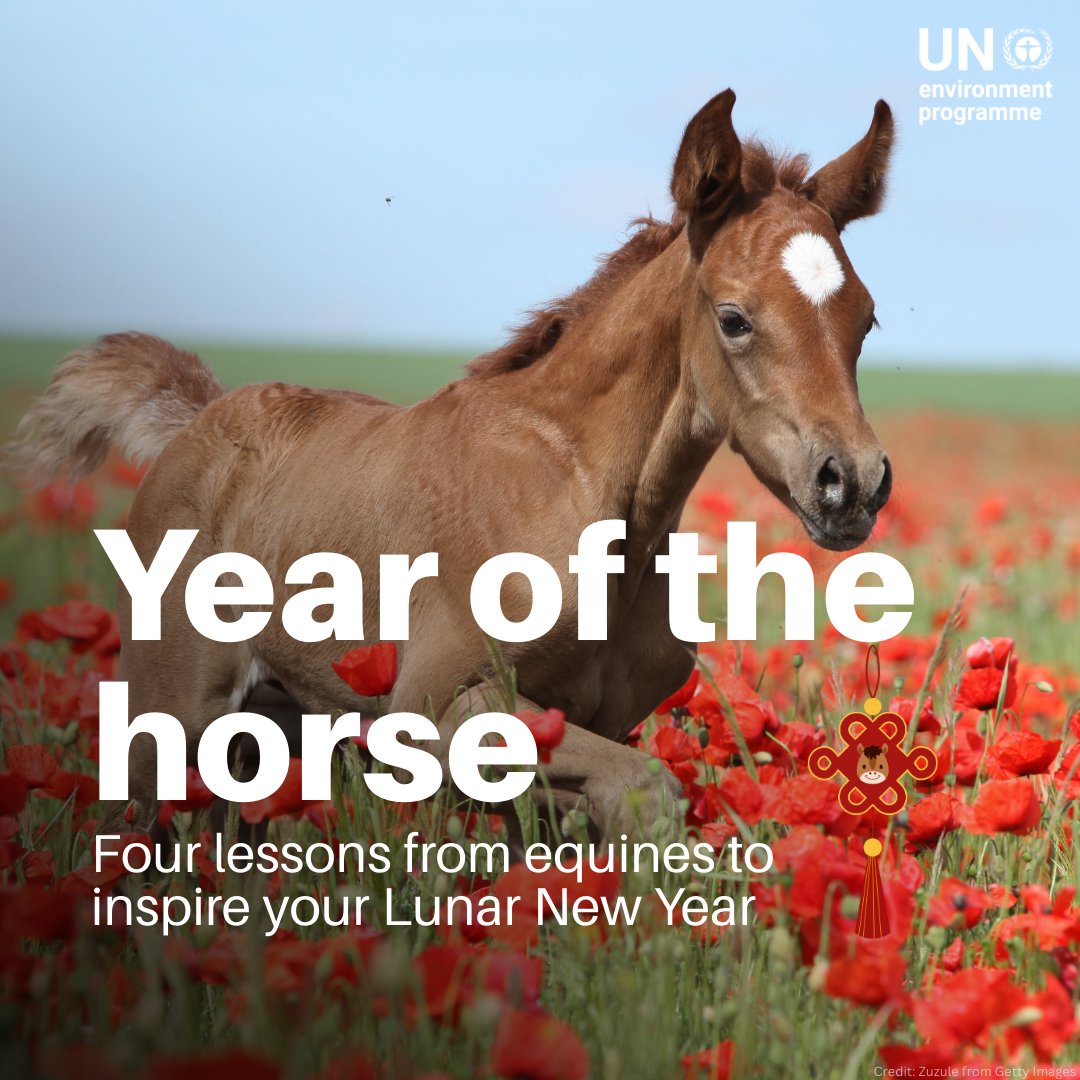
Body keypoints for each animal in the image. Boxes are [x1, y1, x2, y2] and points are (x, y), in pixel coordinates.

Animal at [6, 90, 895, 838]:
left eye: (867, 318)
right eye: (735, 318)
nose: (851, 482)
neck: (583, 500)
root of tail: (196, 422)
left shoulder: (591, 721)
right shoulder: (430, 709)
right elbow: (646, 790)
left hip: (268, 734)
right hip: (168, 724)